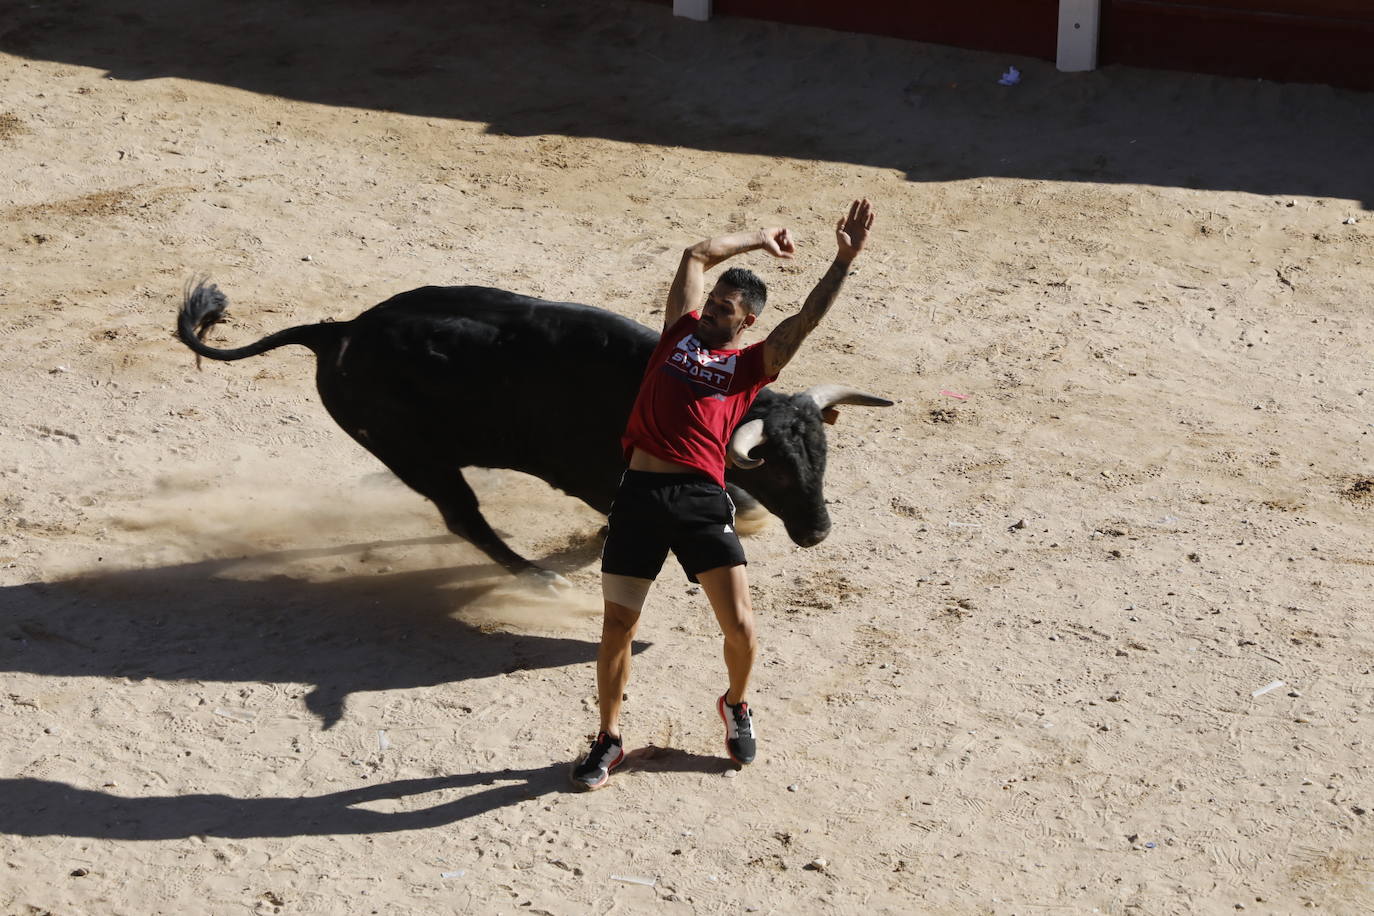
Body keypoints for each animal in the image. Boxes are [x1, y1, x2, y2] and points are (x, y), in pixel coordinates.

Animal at [177, 282, 890, 576]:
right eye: (776, 468)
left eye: (823, 457)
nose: (818, 531)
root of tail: (339, 332)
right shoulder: (589, 474)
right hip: (415, 455)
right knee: (462, 517)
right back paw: (535, 575)